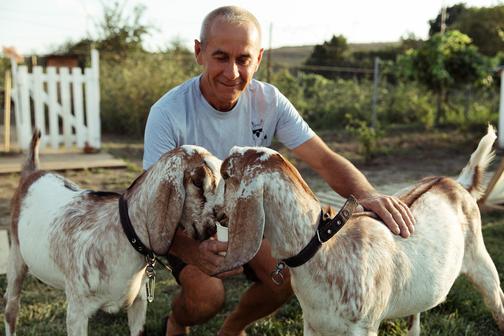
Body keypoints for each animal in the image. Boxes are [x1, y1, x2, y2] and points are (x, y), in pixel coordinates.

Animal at [3, 130, 220, 334]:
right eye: (198, 182)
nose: (212, 228)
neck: (123, 232)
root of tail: (32, 174)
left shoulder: (139, 303)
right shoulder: (76, 312)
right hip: (16, 260)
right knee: (11, 308)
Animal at [214, 126, 504, 336]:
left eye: (226, 174)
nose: (213, 210)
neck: (322, 245)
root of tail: (455, 183)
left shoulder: (362, 327)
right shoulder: (313, 324)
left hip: (482, 264)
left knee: (497, 301)